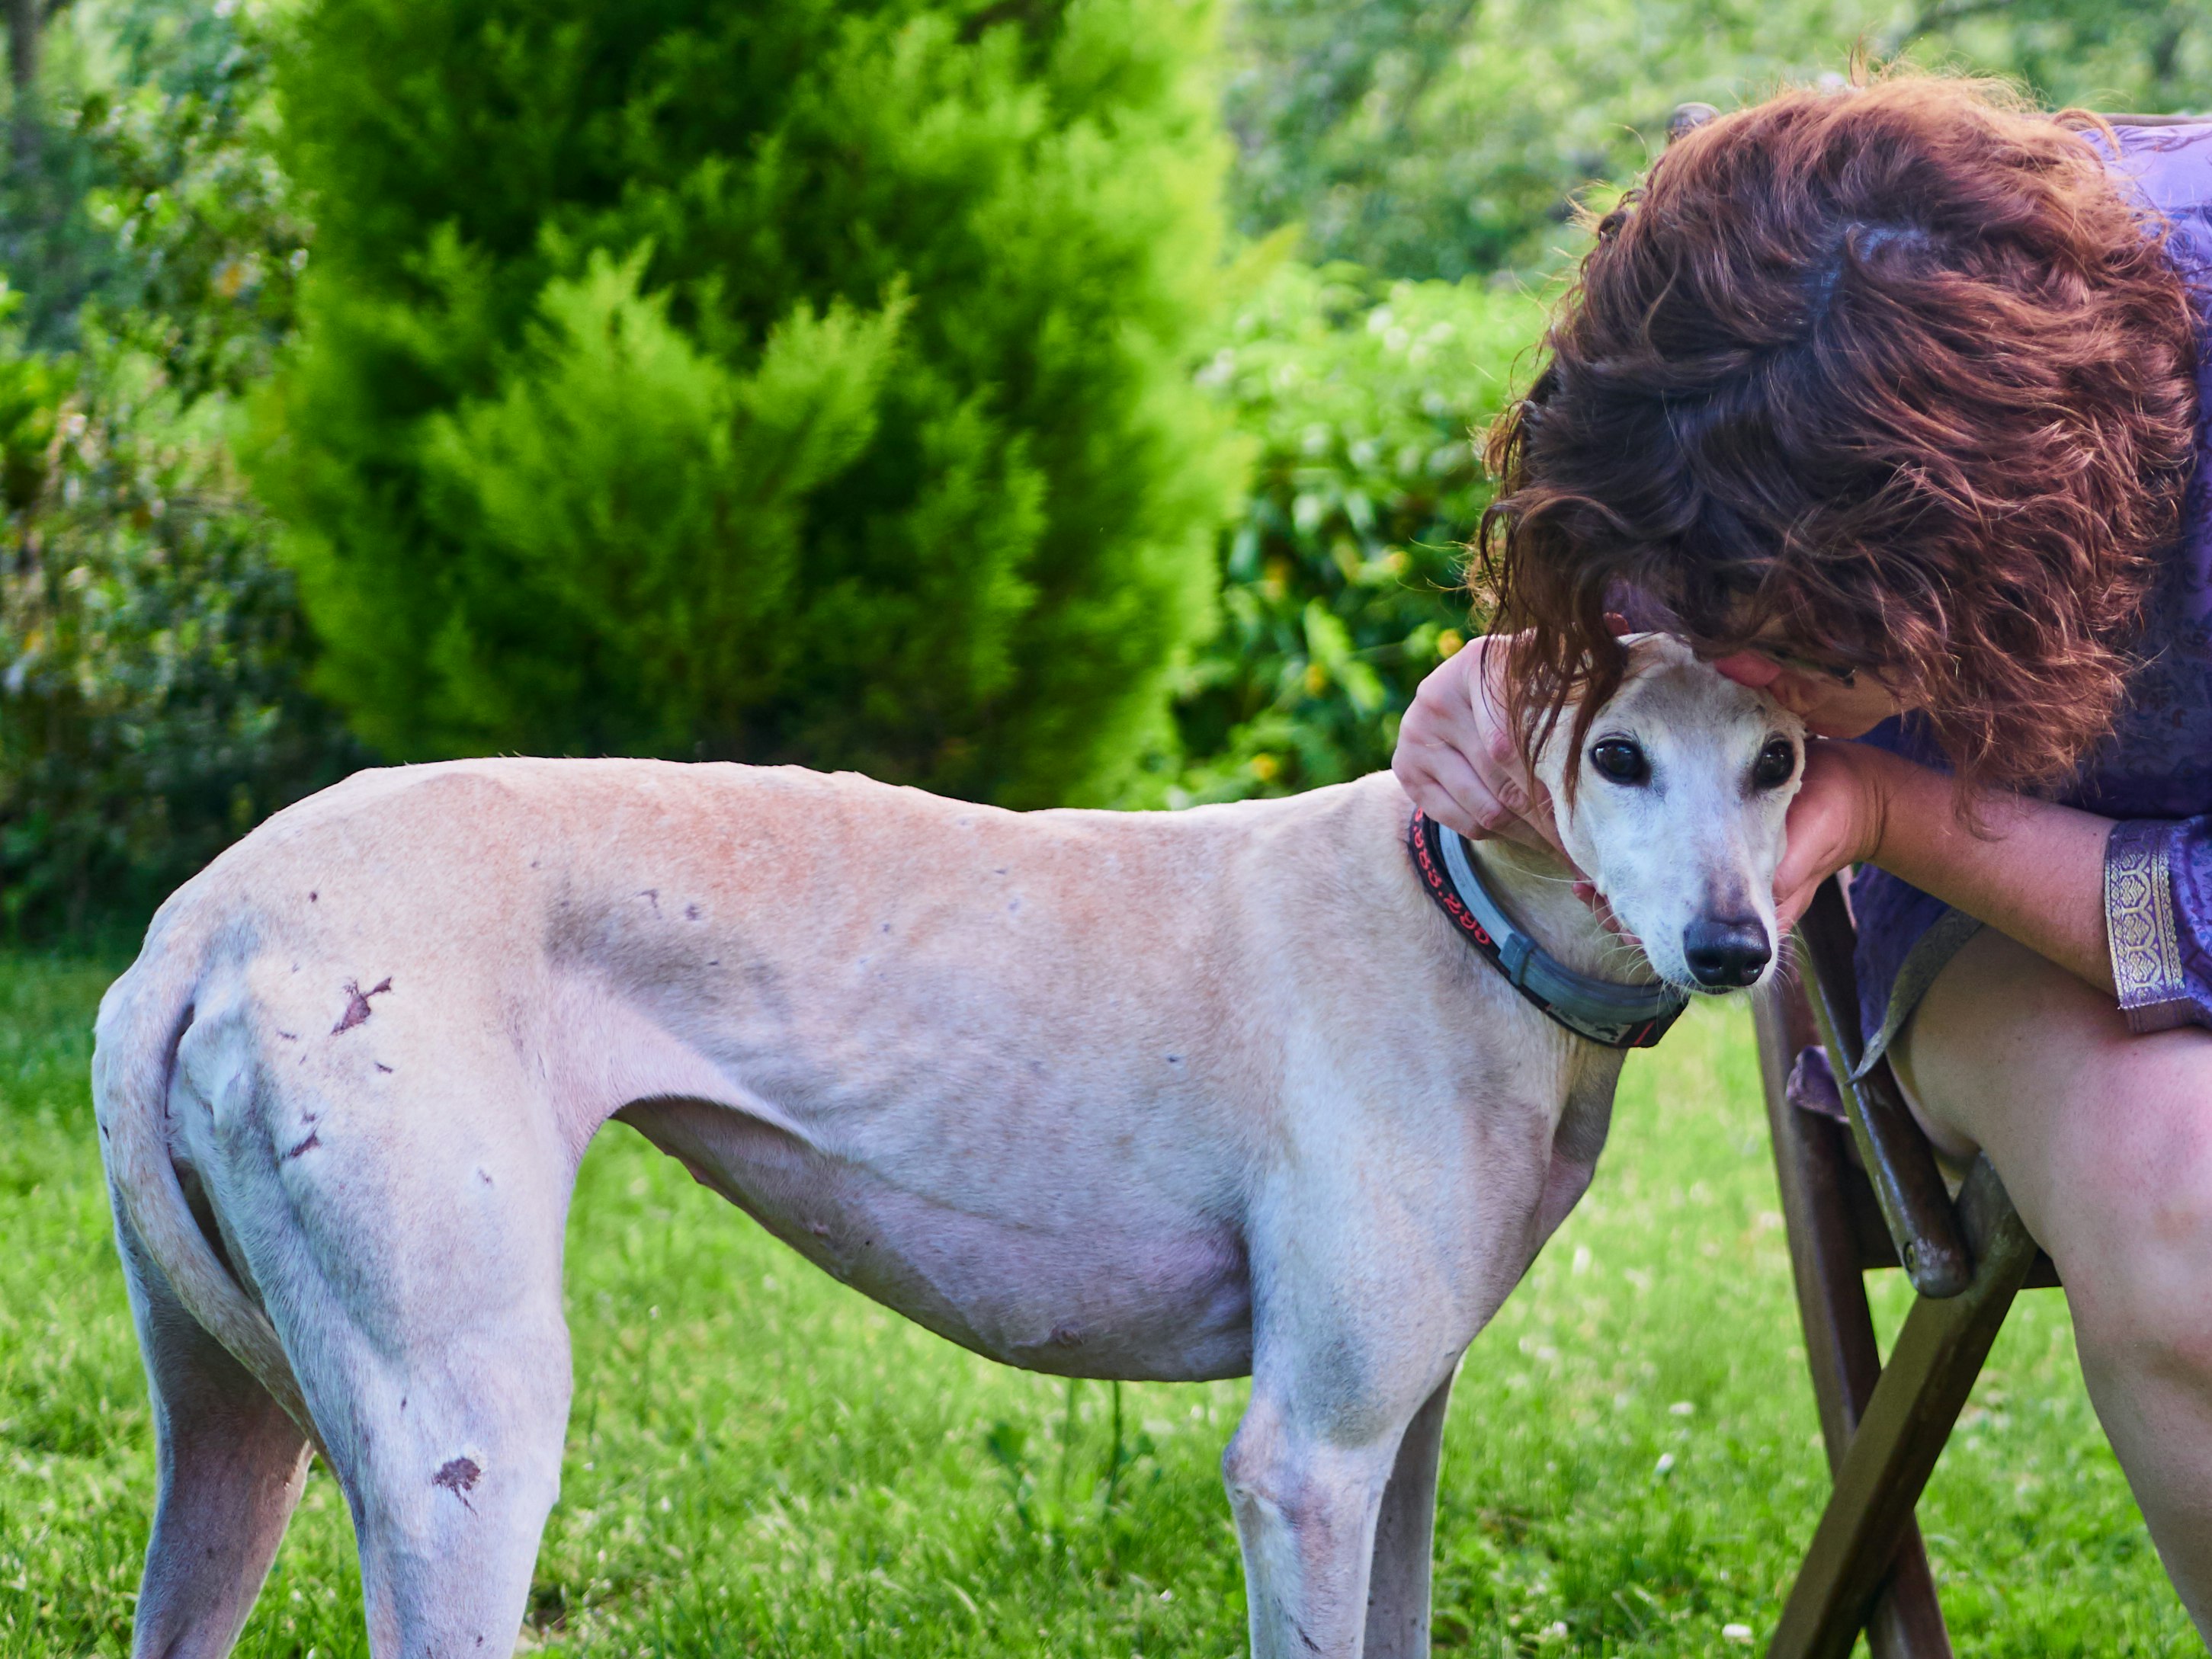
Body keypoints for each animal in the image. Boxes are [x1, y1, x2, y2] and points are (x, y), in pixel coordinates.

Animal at [95, 628, 1805, 1654]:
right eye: (1613, 754)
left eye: (1778, 755)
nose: (1736, 946)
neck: (1454, 910)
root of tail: (203, 919)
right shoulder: (1305, 1465)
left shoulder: (1401, 1426)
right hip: (467, 1449)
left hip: (230, 1442)